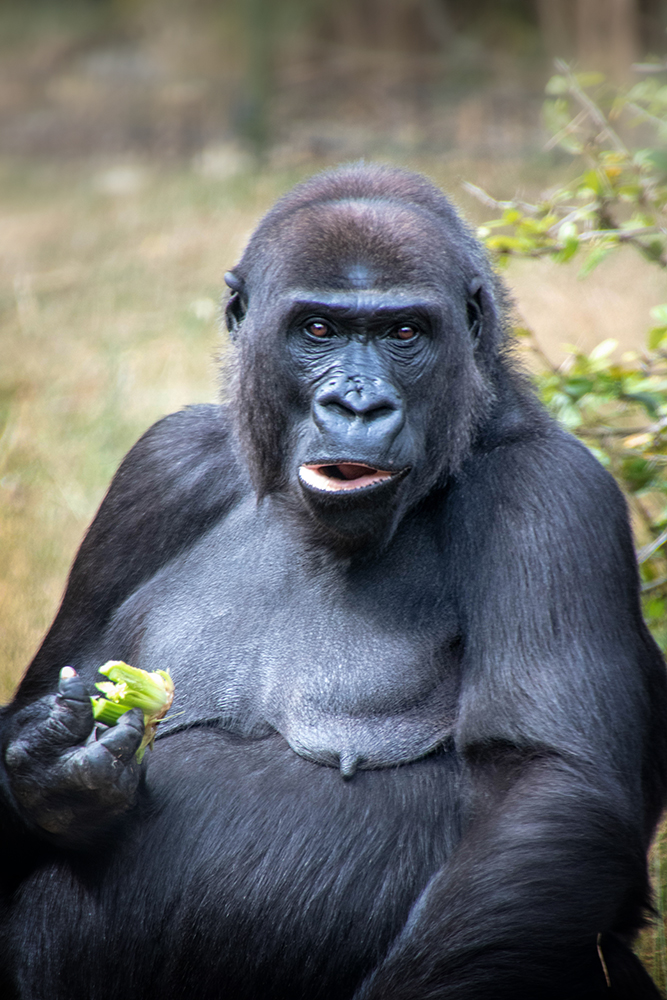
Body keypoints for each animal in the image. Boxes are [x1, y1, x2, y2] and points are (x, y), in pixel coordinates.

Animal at [1, 166, 667, 1000]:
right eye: (317, 330)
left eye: (403, 333)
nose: (357, 403)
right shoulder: (160, 467)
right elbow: (37, 707)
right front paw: (57, 776)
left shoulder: (550, 495)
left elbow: (552, 791)